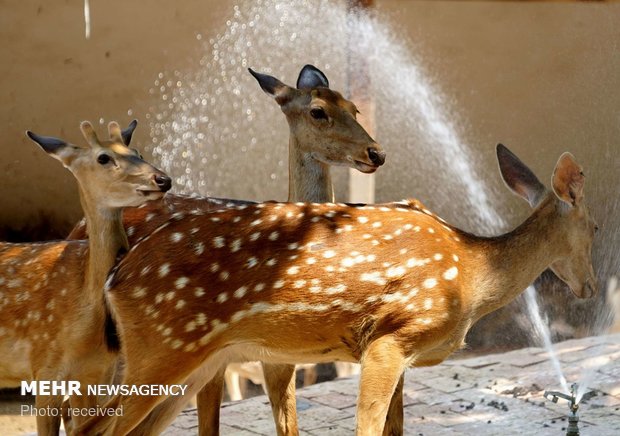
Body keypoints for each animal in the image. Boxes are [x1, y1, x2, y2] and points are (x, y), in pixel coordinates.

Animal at [75, 144, 600, 436]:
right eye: (595, 226)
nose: (592, 287)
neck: (471, 275)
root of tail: (115, 277)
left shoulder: (401, 351)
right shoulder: (391, 338)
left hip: (193, 363)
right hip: (162, 348)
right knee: (93, 425)